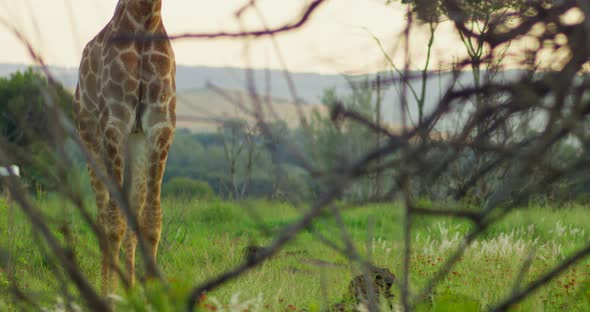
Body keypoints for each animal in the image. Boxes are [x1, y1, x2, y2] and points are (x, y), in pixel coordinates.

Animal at [73, 0, 176, 294]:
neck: (145, 19)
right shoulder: (115, 122)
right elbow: (114, 221)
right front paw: (108, 296)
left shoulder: (161, 124)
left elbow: (151, 220)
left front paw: (150, 294)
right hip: (90, 138)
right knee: (102, 215)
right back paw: (108, 288)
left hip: (136, 144)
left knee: (132, 210)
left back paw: (129, 287)